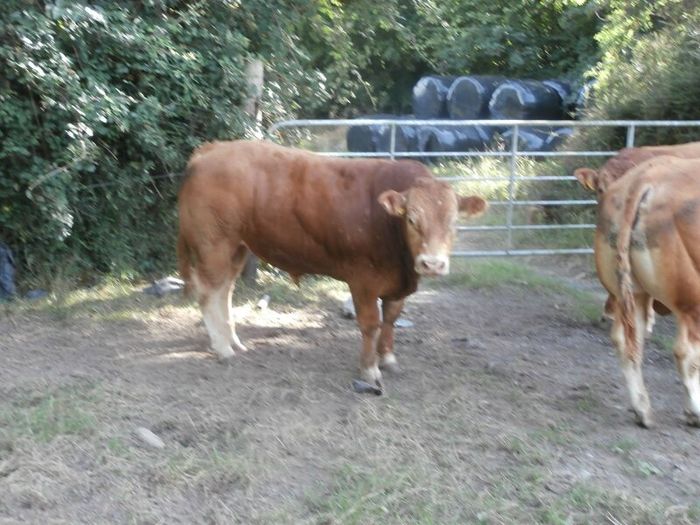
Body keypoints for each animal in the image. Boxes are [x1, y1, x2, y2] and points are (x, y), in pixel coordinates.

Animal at [177, 140, 487, 388]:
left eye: (454, 222)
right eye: (412, 219)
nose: (432, 264)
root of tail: (211, 149)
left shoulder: (396, 285)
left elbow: (390, 319)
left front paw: (388, 358)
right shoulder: (363, 280)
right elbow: (371, 324)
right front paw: (369, 370)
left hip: (237, 248)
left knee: (224, 291)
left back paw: (234, 342)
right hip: (214, 244)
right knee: (209, 294)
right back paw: (222, 348)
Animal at [594, 155, 700, 427]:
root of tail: (645, 177)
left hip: (631, 293)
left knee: (627, 341)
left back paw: (642, 409)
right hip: (692, 300)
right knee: (685, 351)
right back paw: (693, 411)